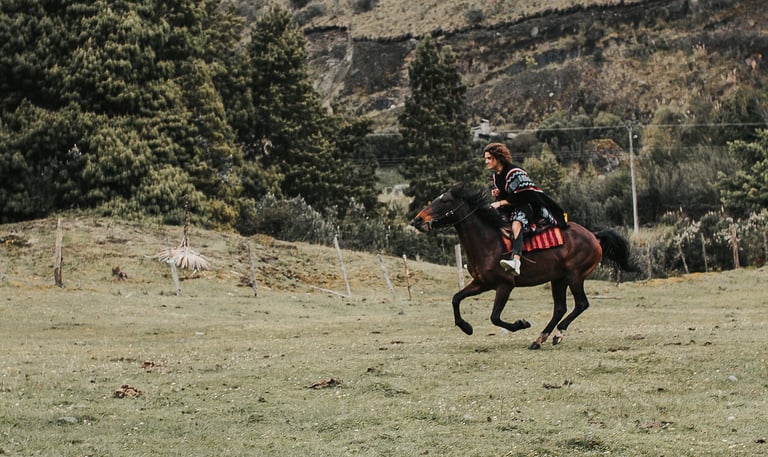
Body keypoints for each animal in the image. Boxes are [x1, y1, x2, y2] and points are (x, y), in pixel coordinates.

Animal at [409, 182, 636, 349]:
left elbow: (495, 317)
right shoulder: (481, 283)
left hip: (575, 276)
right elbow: (456, 298)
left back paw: (557, 334)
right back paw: (540, 339)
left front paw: (521, 324)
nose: (417, 220)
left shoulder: (505, 285)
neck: (488, 242)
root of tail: (594, 236)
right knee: (560, 308)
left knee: (581, 304)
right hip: (558, 279)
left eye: (445, 201)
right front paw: (466, 327)